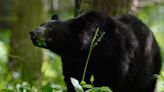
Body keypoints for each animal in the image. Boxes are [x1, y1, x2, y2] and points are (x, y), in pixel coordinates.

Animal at [29, 11, 161, 91]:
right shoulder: (72, 62)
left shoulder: (114, 56)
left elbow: (110, 82)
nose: (32, 32)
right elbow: (73, 80)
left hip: (148, 70)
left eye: (50, 28)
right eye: (41, 24)